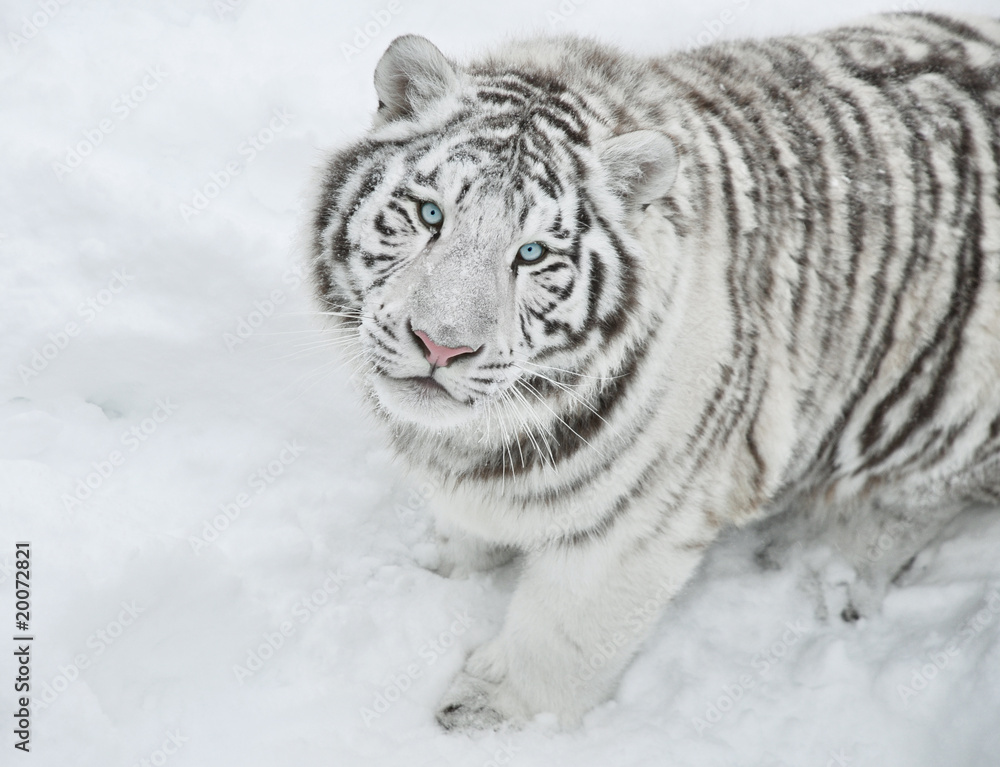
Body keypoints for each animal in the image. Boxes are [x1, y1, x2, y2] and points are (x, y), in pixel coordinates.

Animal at [307, 13, 1000, 730]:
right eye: (430, 215)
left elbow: (565, 632)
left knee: (914, 502)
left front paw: (490, 712)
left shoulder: (642, 521)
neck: (482, 434)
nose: (440, 345)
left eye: (531, 254)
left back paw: (823, 565)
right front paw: (444, 566)